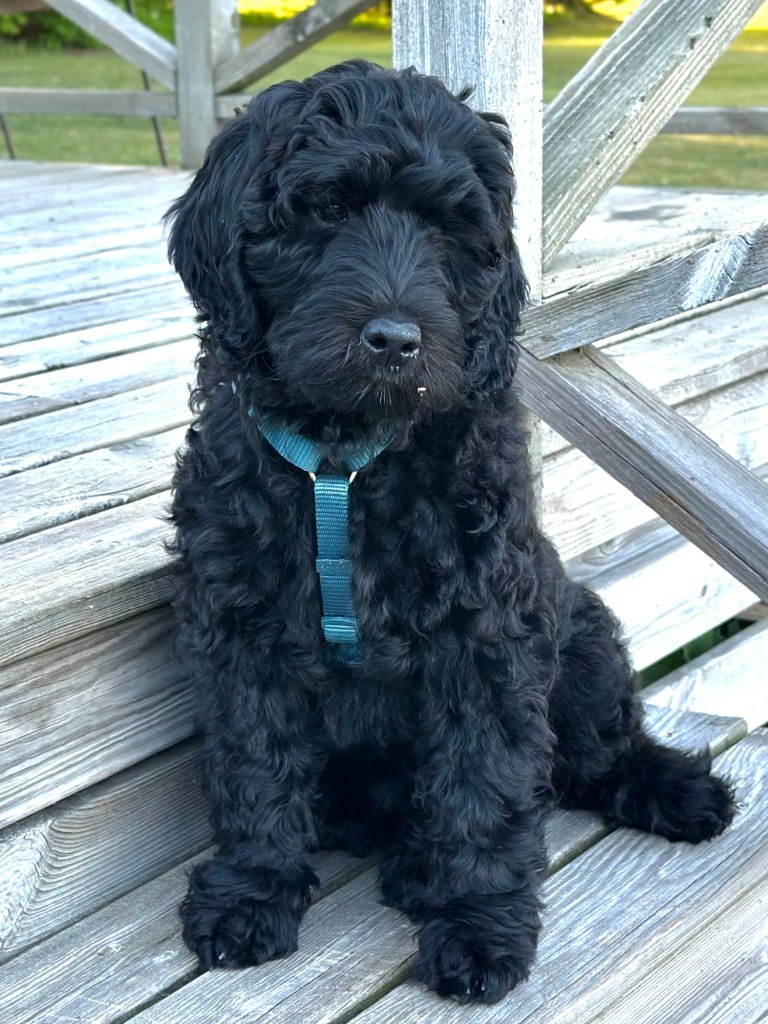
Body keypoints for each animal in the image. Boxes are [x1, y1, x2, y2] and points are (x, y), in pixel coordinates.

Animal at [166, 60, 734, 1004]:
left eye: (447, 229)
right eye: (324, 211)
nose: (396, 340)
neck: (346, 460)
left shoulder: (486, 632)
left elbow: (484, 784)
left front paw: (477, 926)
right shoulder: (239, 624)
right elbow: (253, 761)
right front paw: (251, 890)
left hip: (583, 639)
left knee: (600, 753)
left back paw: (677, 790)